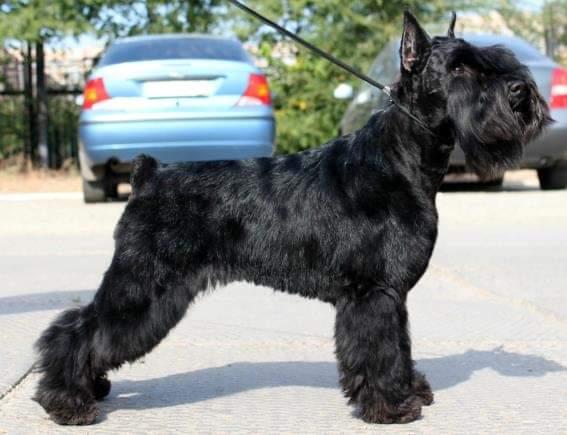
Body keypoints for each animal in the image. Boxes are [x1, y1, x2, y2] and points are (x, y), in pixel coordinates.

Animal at [34, 11, 551, 425]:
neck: (400, 160)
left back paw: (89, 388)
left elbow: (400, 346)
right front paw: (391, 406)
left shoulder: (390, 294)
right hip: (144, 285)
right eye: (460, 66)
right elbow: (380, 351)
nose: (521, 92)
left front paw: (410, 390)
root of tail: (148, 175)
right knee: (77, 329)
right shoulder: (371, 293)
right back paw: (66, 402)